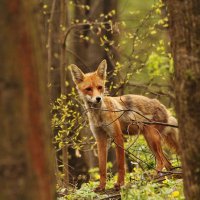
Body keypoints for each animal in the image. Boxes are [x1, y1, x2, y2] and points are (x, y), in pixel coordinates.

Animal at [70, 59, 180, 192]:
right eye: (88, 89)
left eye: (100, 87)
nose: (98, 98)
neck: (98, 115)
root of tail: (163, 107)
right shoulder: (100, 139)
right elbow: (102, 168)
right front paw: (102, 186)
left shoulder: (118, 136)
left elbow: (121, 165)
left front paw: (120, 184)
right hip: (151, 141)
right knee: (168, 164)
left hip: (151, 138)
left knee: (161, 161)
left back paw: (153, 176)